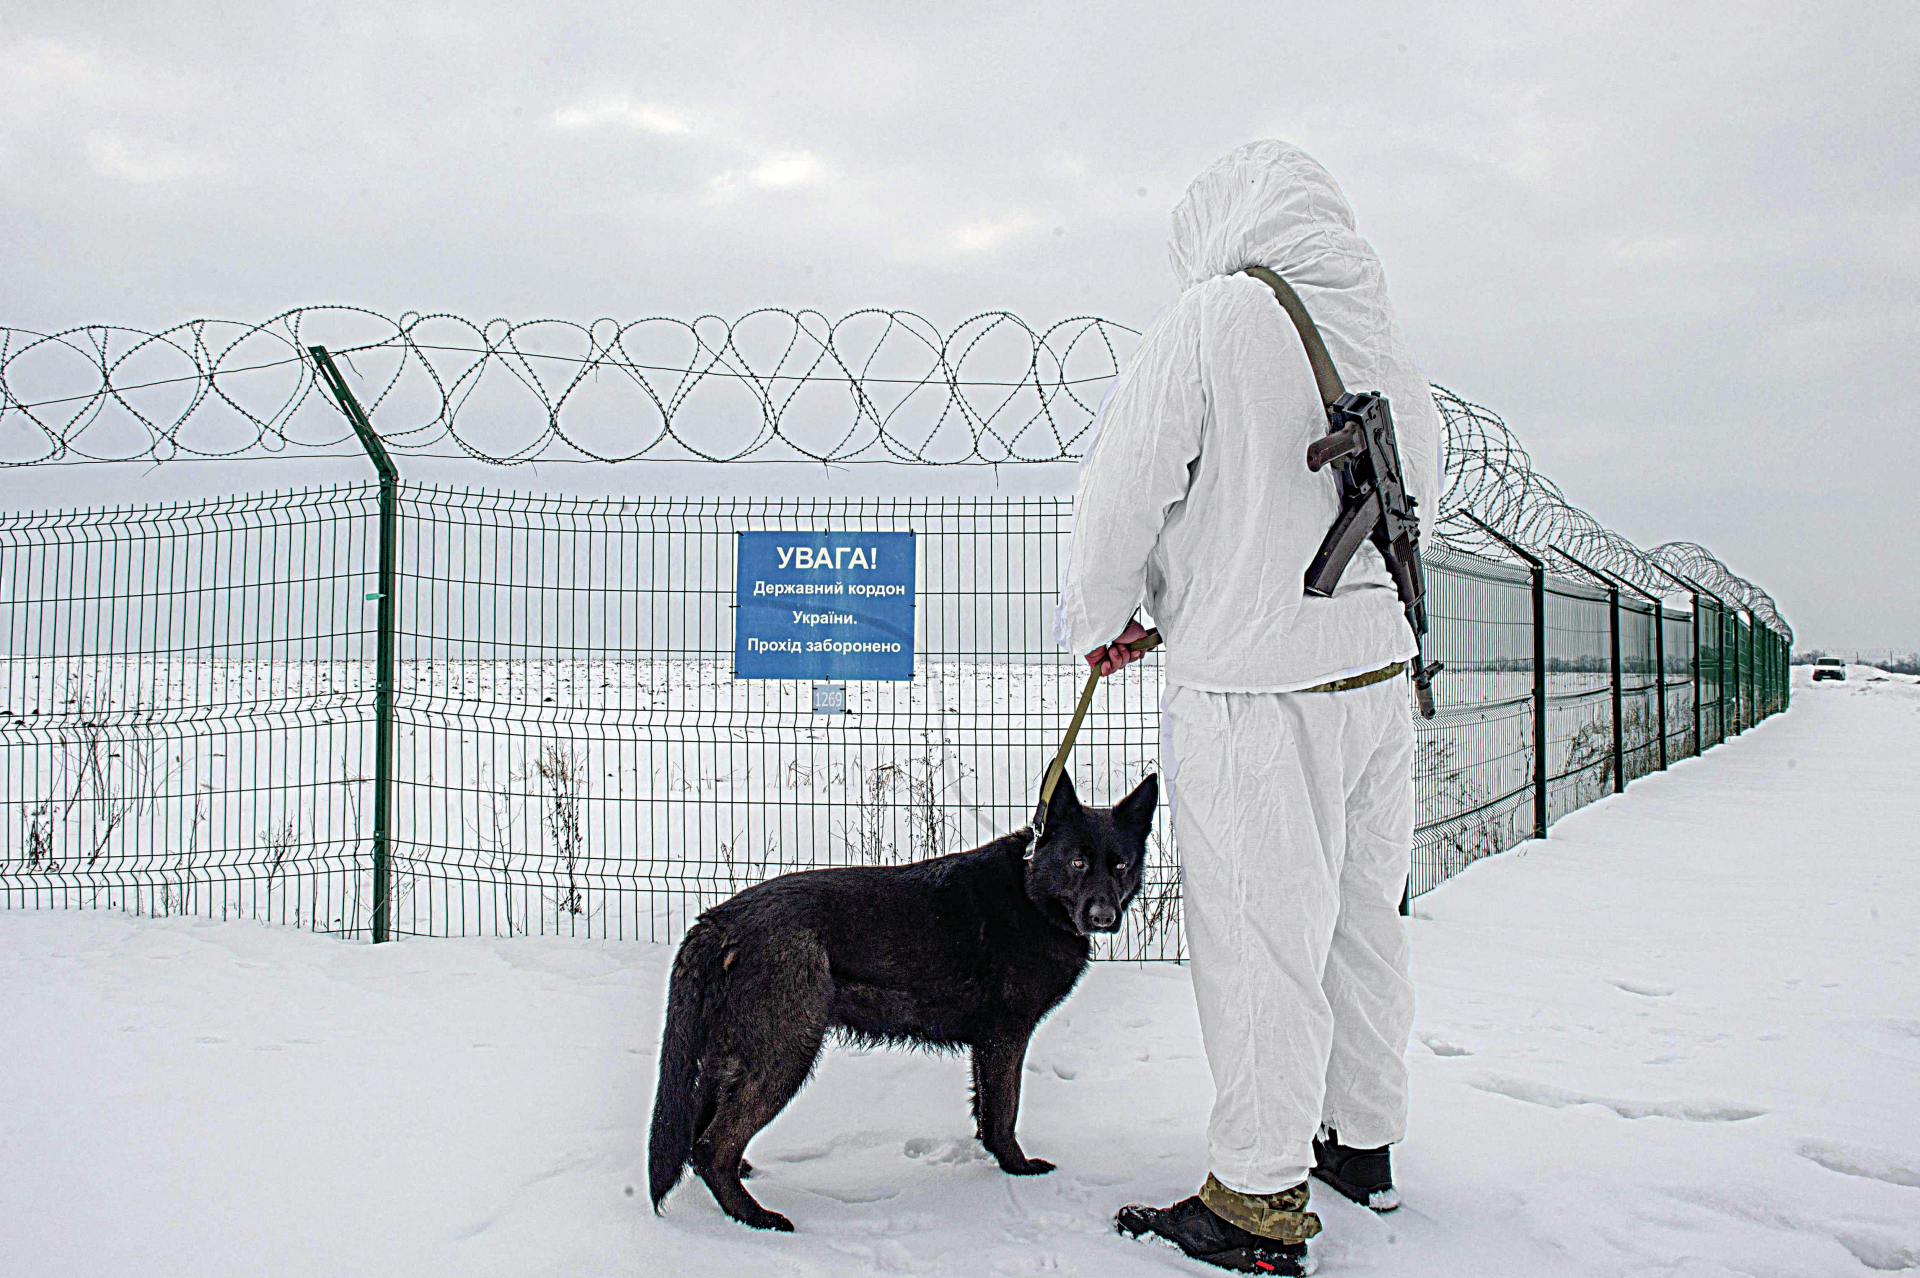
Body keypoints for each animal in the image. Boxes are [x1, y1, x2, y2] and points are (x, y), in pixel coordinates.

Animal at [645, 767, 1152, 1228]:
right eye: (1078, 863)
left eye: (1120, 865)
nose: (1104, 917)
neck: (1031, 892)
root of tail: (719, 921)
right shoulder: (1007, 1036)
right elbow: (1005, 1110)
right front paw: (1016, 1167)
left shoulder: (987, 1044)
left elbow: (988, 1111)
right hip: (785, 1053)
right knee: (711, 1148)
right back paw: (755, 1217)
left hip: (731, 1057)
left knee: (700, 1134)